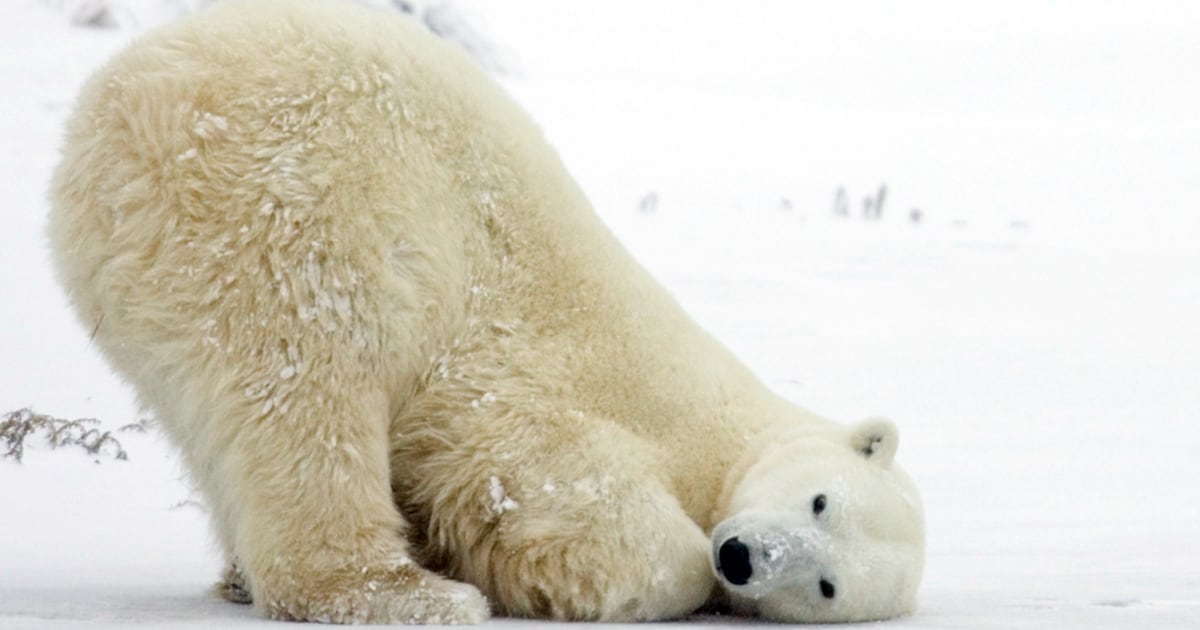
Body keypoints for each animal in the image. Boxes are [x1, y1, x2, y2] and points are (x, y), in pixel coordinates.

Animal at [47, 0, 924, 624]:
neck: (721, 441)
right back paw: (405, 594)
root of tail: (118, 111)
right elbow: (574, 495)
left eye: (827, 582)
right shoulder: (573, 391)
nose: (743, 556)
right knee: (313, 392)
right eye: (819, 499)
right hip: (289, 210)